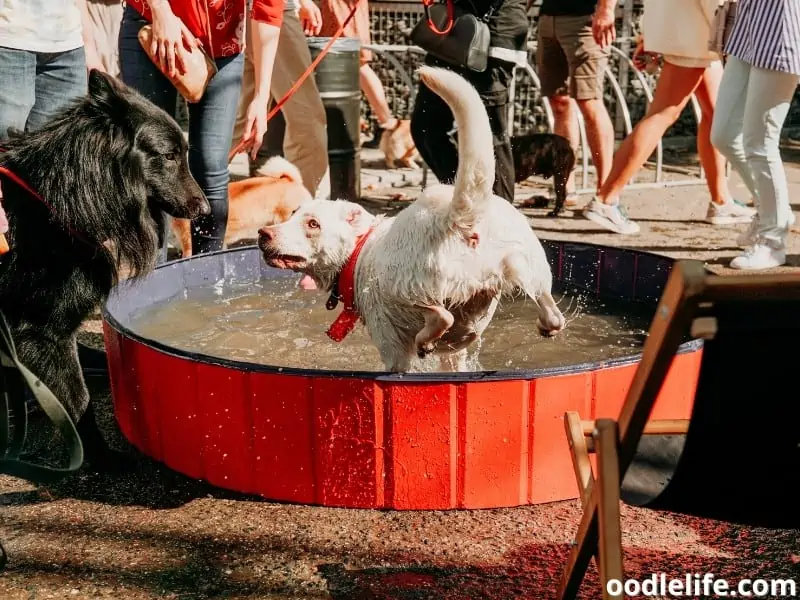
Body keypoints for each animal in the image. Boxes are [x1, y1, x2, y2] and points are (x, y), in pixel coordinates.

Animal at [0, 68, 209, 466]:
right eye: (169, 155)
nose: (204, 209)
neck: (55, 198)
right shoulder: (40, 330)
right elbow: (77, 399)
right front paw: (100, 457)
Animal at [260, 68, 564, 372]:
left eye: (313, 224)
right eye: (293, 213)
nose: (264, 233)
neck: (358, 251)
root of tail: (455, 214)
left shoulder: (391, 346)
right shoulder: (453, 355)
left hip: (402, 285)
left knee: (441, 315)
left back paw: (425, 340)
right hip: (531, 266)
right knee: (553, 313)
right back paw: (545, 326)